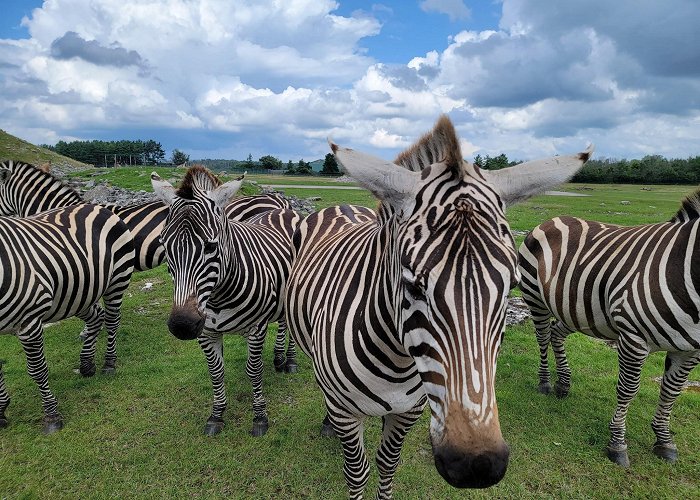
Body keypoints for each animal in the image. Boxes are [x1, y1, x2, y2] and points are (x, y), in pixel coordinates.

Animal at [0, 203, 134, 434]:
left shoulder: (29, 321)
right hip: (76, 294)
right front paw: (0, 412)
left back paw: (109, 363)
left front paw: (51, 416)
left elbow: (37, 370)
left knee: (112, 320)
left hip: (117, 279)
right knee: (96, 318)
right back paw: (87, 364)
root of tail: (96, 206)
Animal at [152, 166, 302, 436]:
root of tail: (283, 208)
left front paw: (260, 417)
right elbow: (216, 372)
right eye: (164, 246)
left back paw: (290, 360)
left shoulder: (257, 327)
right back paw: (278, 357)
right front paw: (217, 414)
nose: (182, 326)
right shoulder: (206, 331)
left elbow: (254, 370)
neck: (218, 297)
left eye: (211, 247)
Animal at [284, 116, 592, 496]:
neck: (398, 361)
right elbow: (357, 472)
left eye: (511, 287)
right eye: (412, 286)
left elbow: (387, 464)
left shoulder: (409, 411)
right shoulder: (347, 412)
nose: (478, 466)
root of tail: (341, 206)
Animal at [516, 193, 700, 466]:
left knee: (555, 334)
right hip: (534, 297)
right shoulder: (634, 339)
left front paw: (664, 440)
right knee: (542, 337)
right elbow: (628, 389)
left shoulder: (690, 350)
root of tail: (551, 219)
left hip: (575, 309)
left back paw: (563, 384)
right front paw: (617, 444)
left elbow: (671, 391)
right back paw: (545, 383)